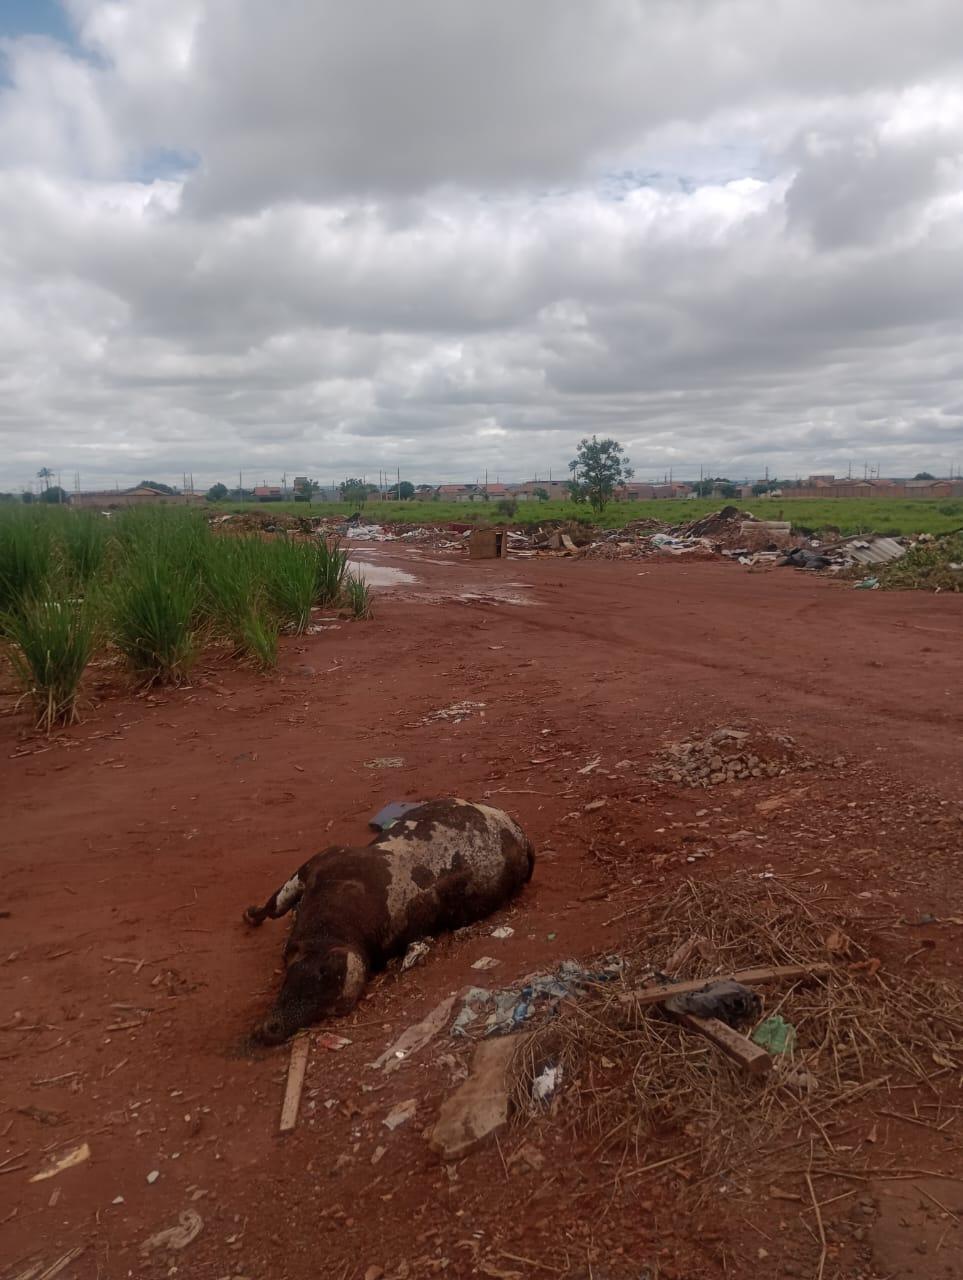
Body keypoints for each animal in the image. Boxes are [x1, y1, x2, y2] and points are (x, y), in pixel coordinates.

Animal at [244, 798, 535, 1039]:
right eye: (319, 974)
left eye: (329, 1010)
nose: (269, 1028)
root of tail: (522, 837)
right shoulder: (316, 864)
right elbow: (276, 905)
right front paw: (252, 915)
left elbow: (276, 903)